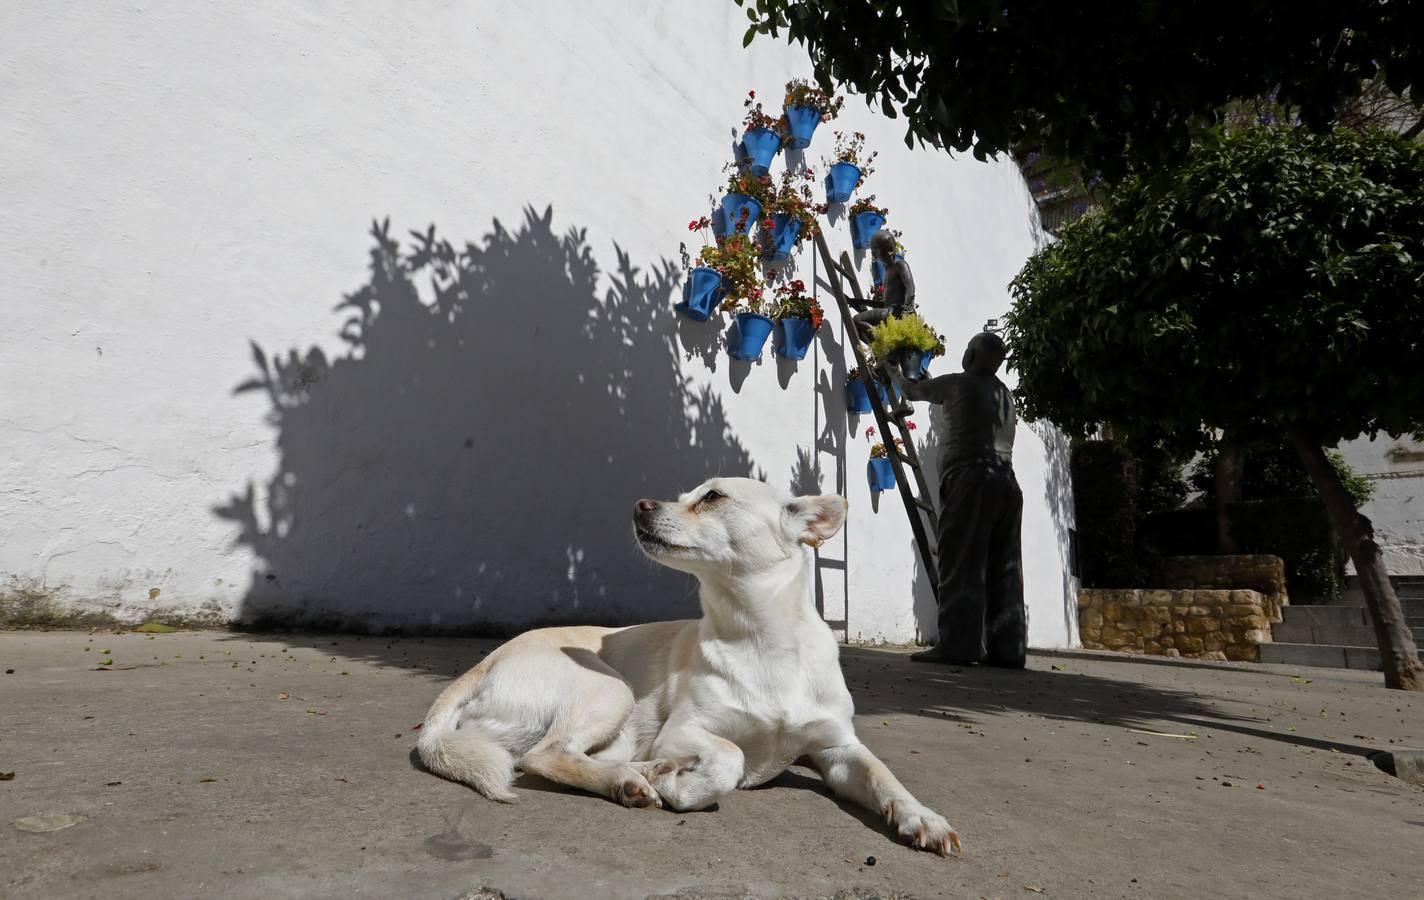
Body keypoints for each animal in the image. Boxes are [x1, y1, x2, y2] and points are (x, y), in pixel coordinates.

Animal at [415, 475, 962, 854]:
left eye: (713, 496)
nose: (639, 503)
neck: (762, 641)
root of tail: (481, 666)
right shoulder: (686, 730)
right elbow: (731, 756)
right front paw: (691, 786)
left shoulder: (838, 749)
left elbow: (884, 777)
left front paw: (924, 818)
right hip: (610, 691)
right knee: (543, 756)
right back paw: (635, 781)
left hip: (619, 723)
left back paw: (647, 772)